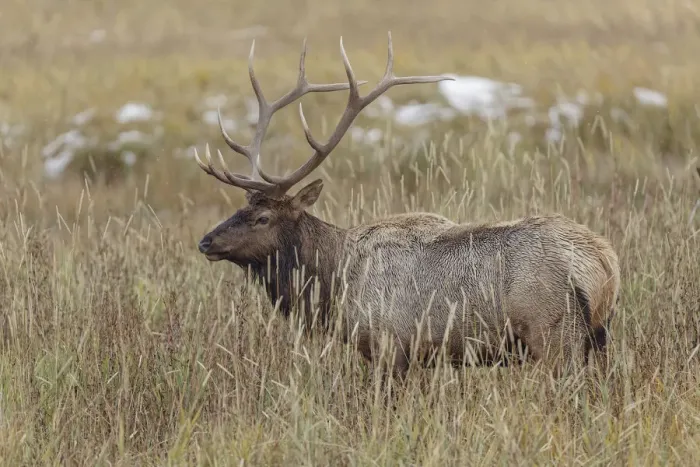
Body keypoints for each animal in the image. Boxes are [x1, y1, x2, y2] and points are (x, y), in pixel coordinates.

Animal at [194, 33, 621, 380]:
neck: (334, 283)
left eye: (262, 217)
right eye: (239, 209)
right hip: (597, 339)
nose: (205, 241)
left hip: (555, 334)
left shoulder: (389, 345)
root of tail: (604, 264)